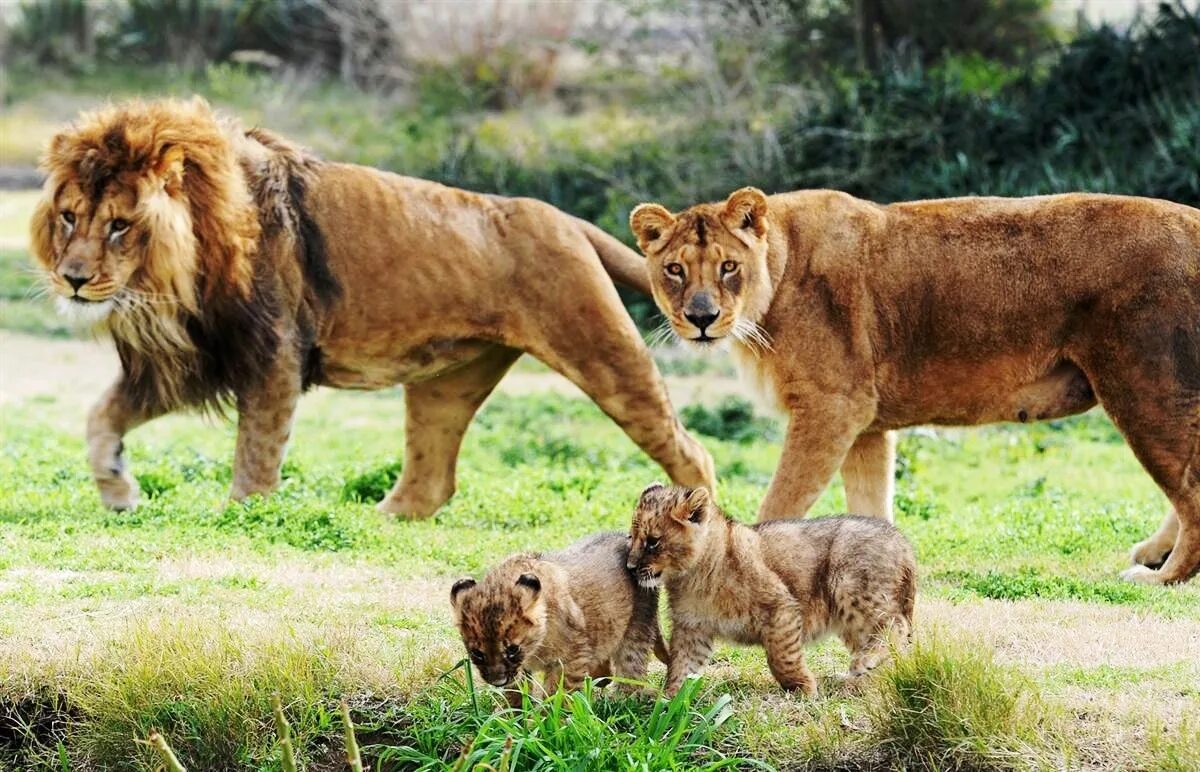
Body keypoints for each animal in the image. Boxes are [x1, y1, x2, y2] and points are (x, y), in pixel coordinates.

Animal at [32, 98, 715, 518]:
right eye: (69, 217)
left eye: (120, 226)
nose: (73, 280)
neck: (175, 278)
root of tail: (567, 219)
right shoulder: (192, 358)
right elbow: (100, 418)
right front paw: (119, 492)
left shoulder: (273, 354)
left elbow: (256, 453)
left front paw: (243, 517)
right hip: (446, 384)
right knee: (432, 482)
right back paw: (376, 519)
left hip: (603, 352)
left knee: (691, 451)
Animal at [628, 188, 1200, 585]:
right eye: (674, 270)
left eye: (728, 266)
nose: (701, 318)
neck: (777, 272)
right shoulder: (864, 425)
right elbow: (870, 506)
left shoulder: (832, 407)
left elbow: (779, 503)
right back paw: (1155, 555)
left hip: (1145, 387)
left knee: (1190, 490)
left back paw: (1163, 577)